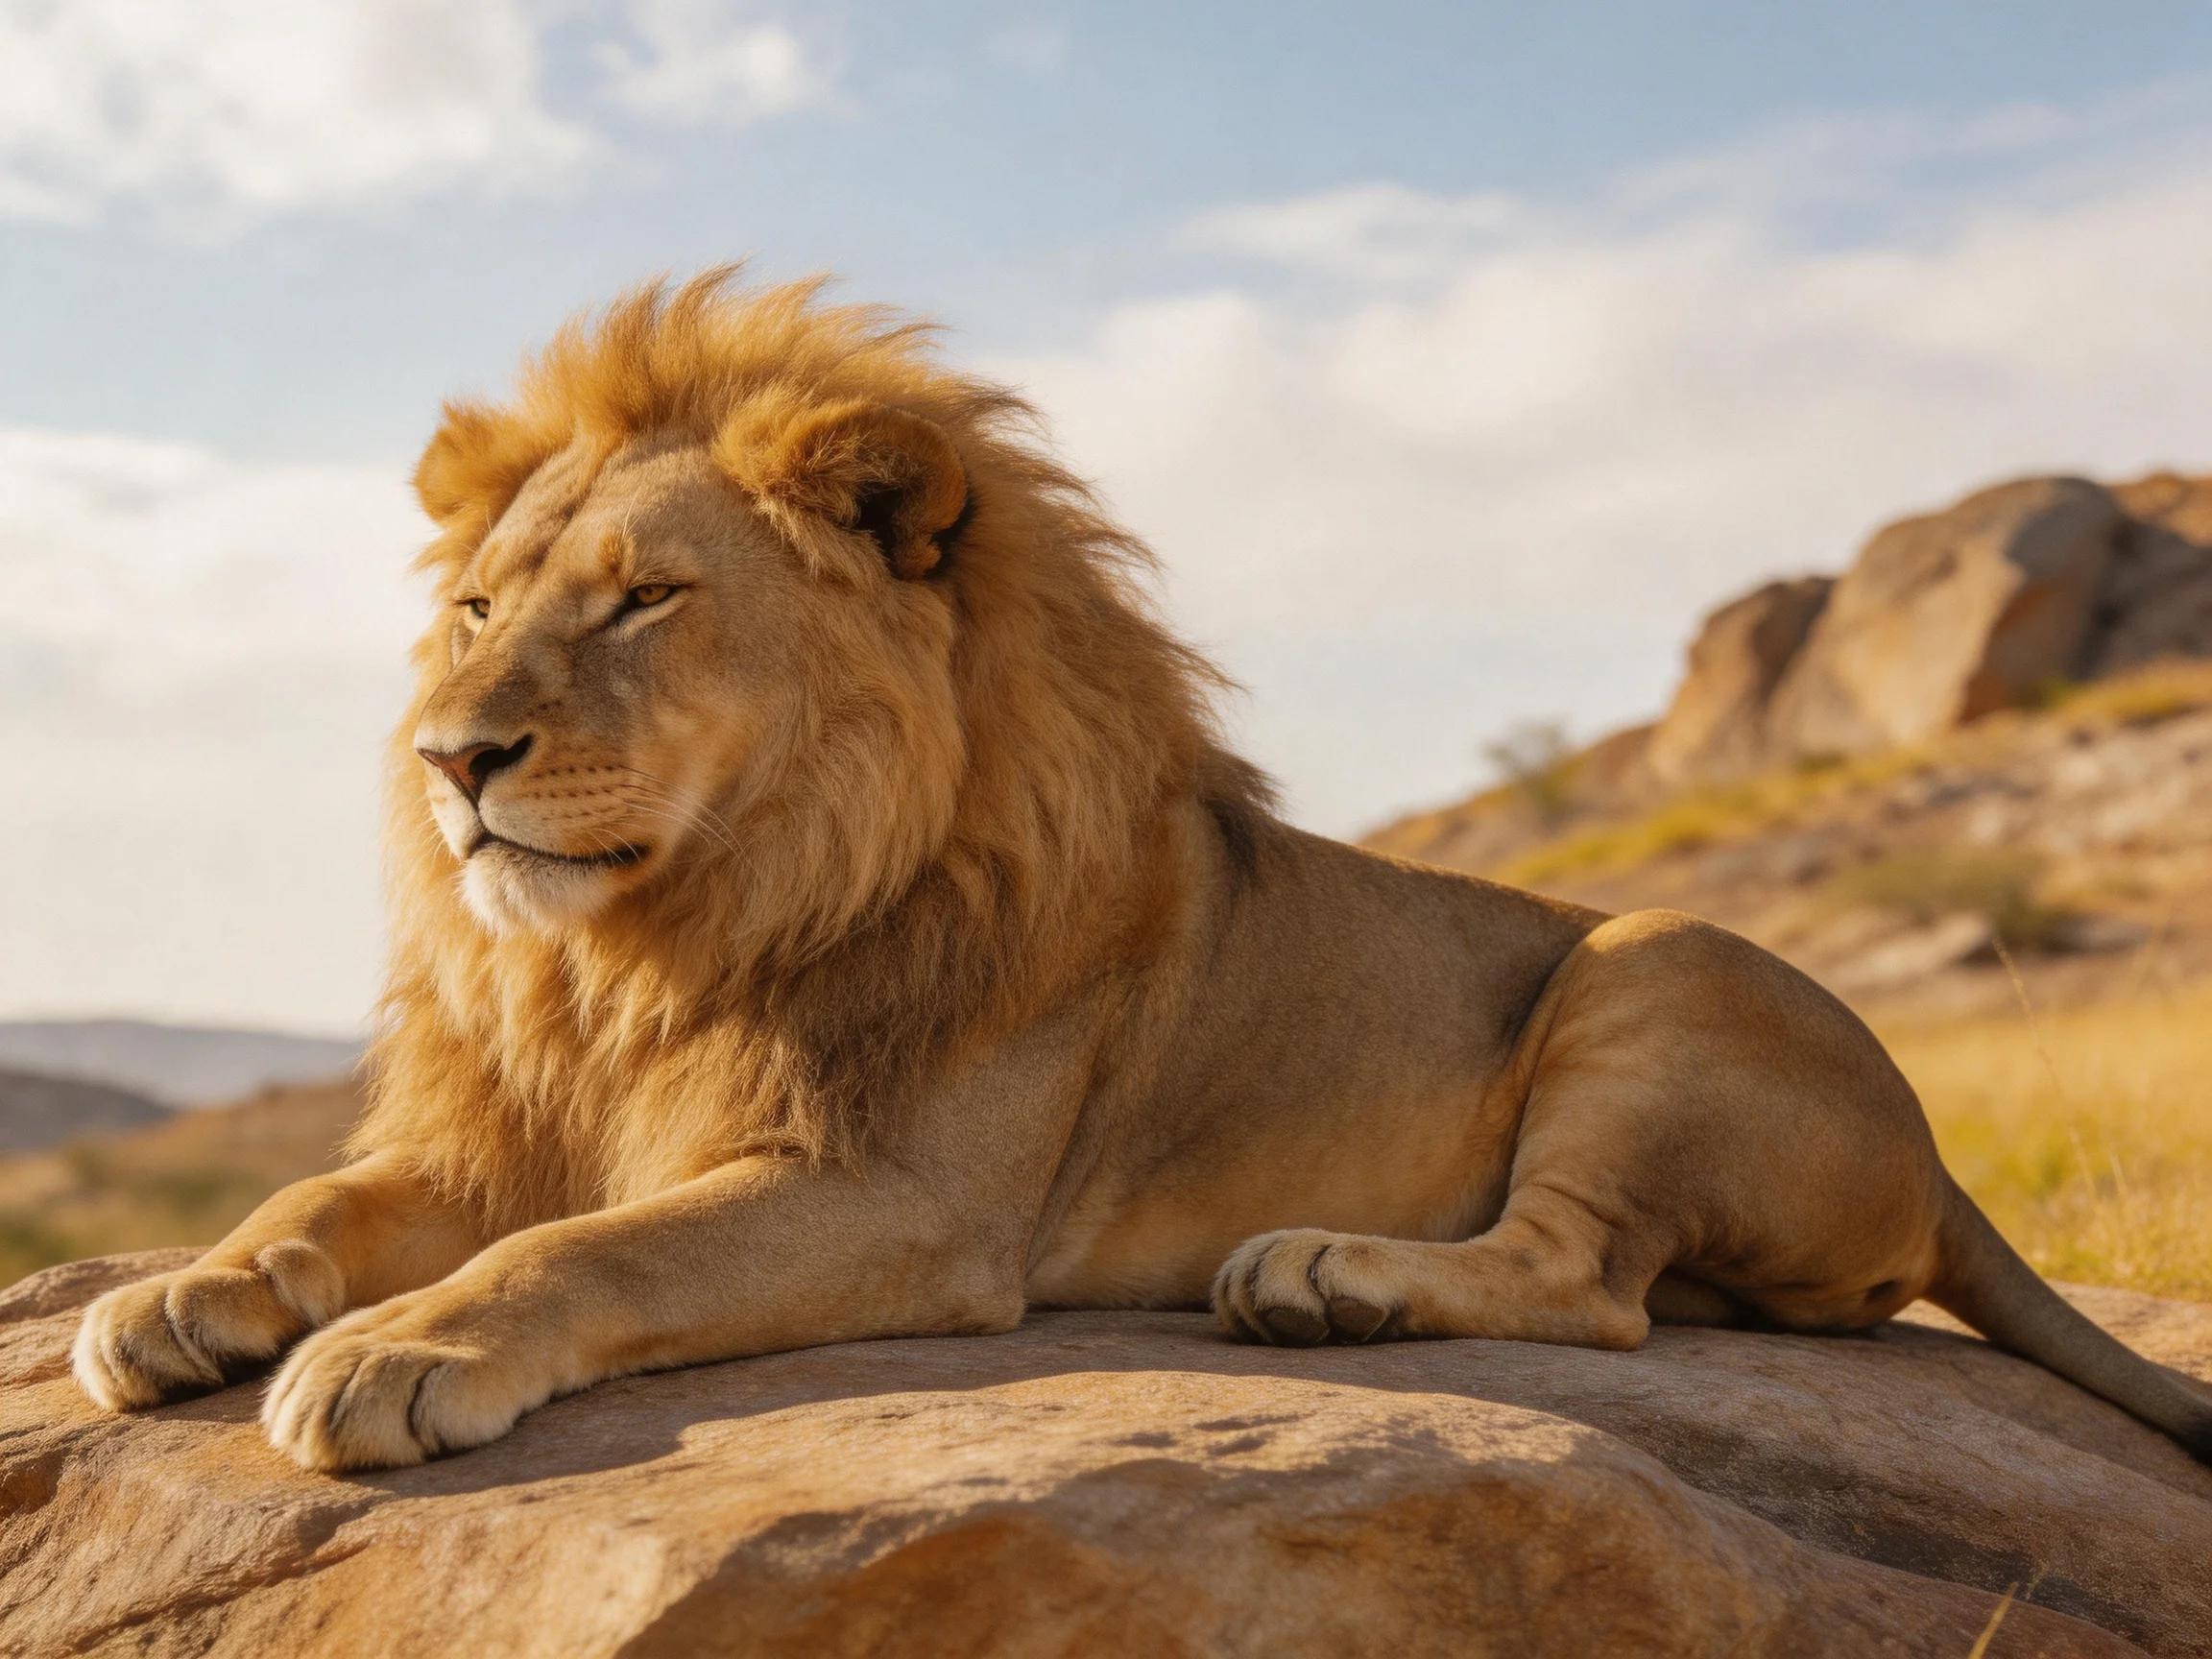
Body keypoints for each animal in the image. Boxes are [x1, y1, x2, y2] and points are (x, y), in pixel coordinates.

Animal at [74, 270, 2212, 1472]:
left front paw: (395, 1350)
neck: (646, 944)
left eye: (643, 602)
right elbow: (326, 1196)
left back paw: (1325, 1280)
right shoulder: (514, 1118)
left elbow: (585, 1249)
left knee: (1588, 1284)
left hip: (1662, 956)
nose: (451, 761)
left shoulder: (903, 1202)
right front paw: (185, 1295)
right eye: (475, 612)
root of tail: (1932, 1159)